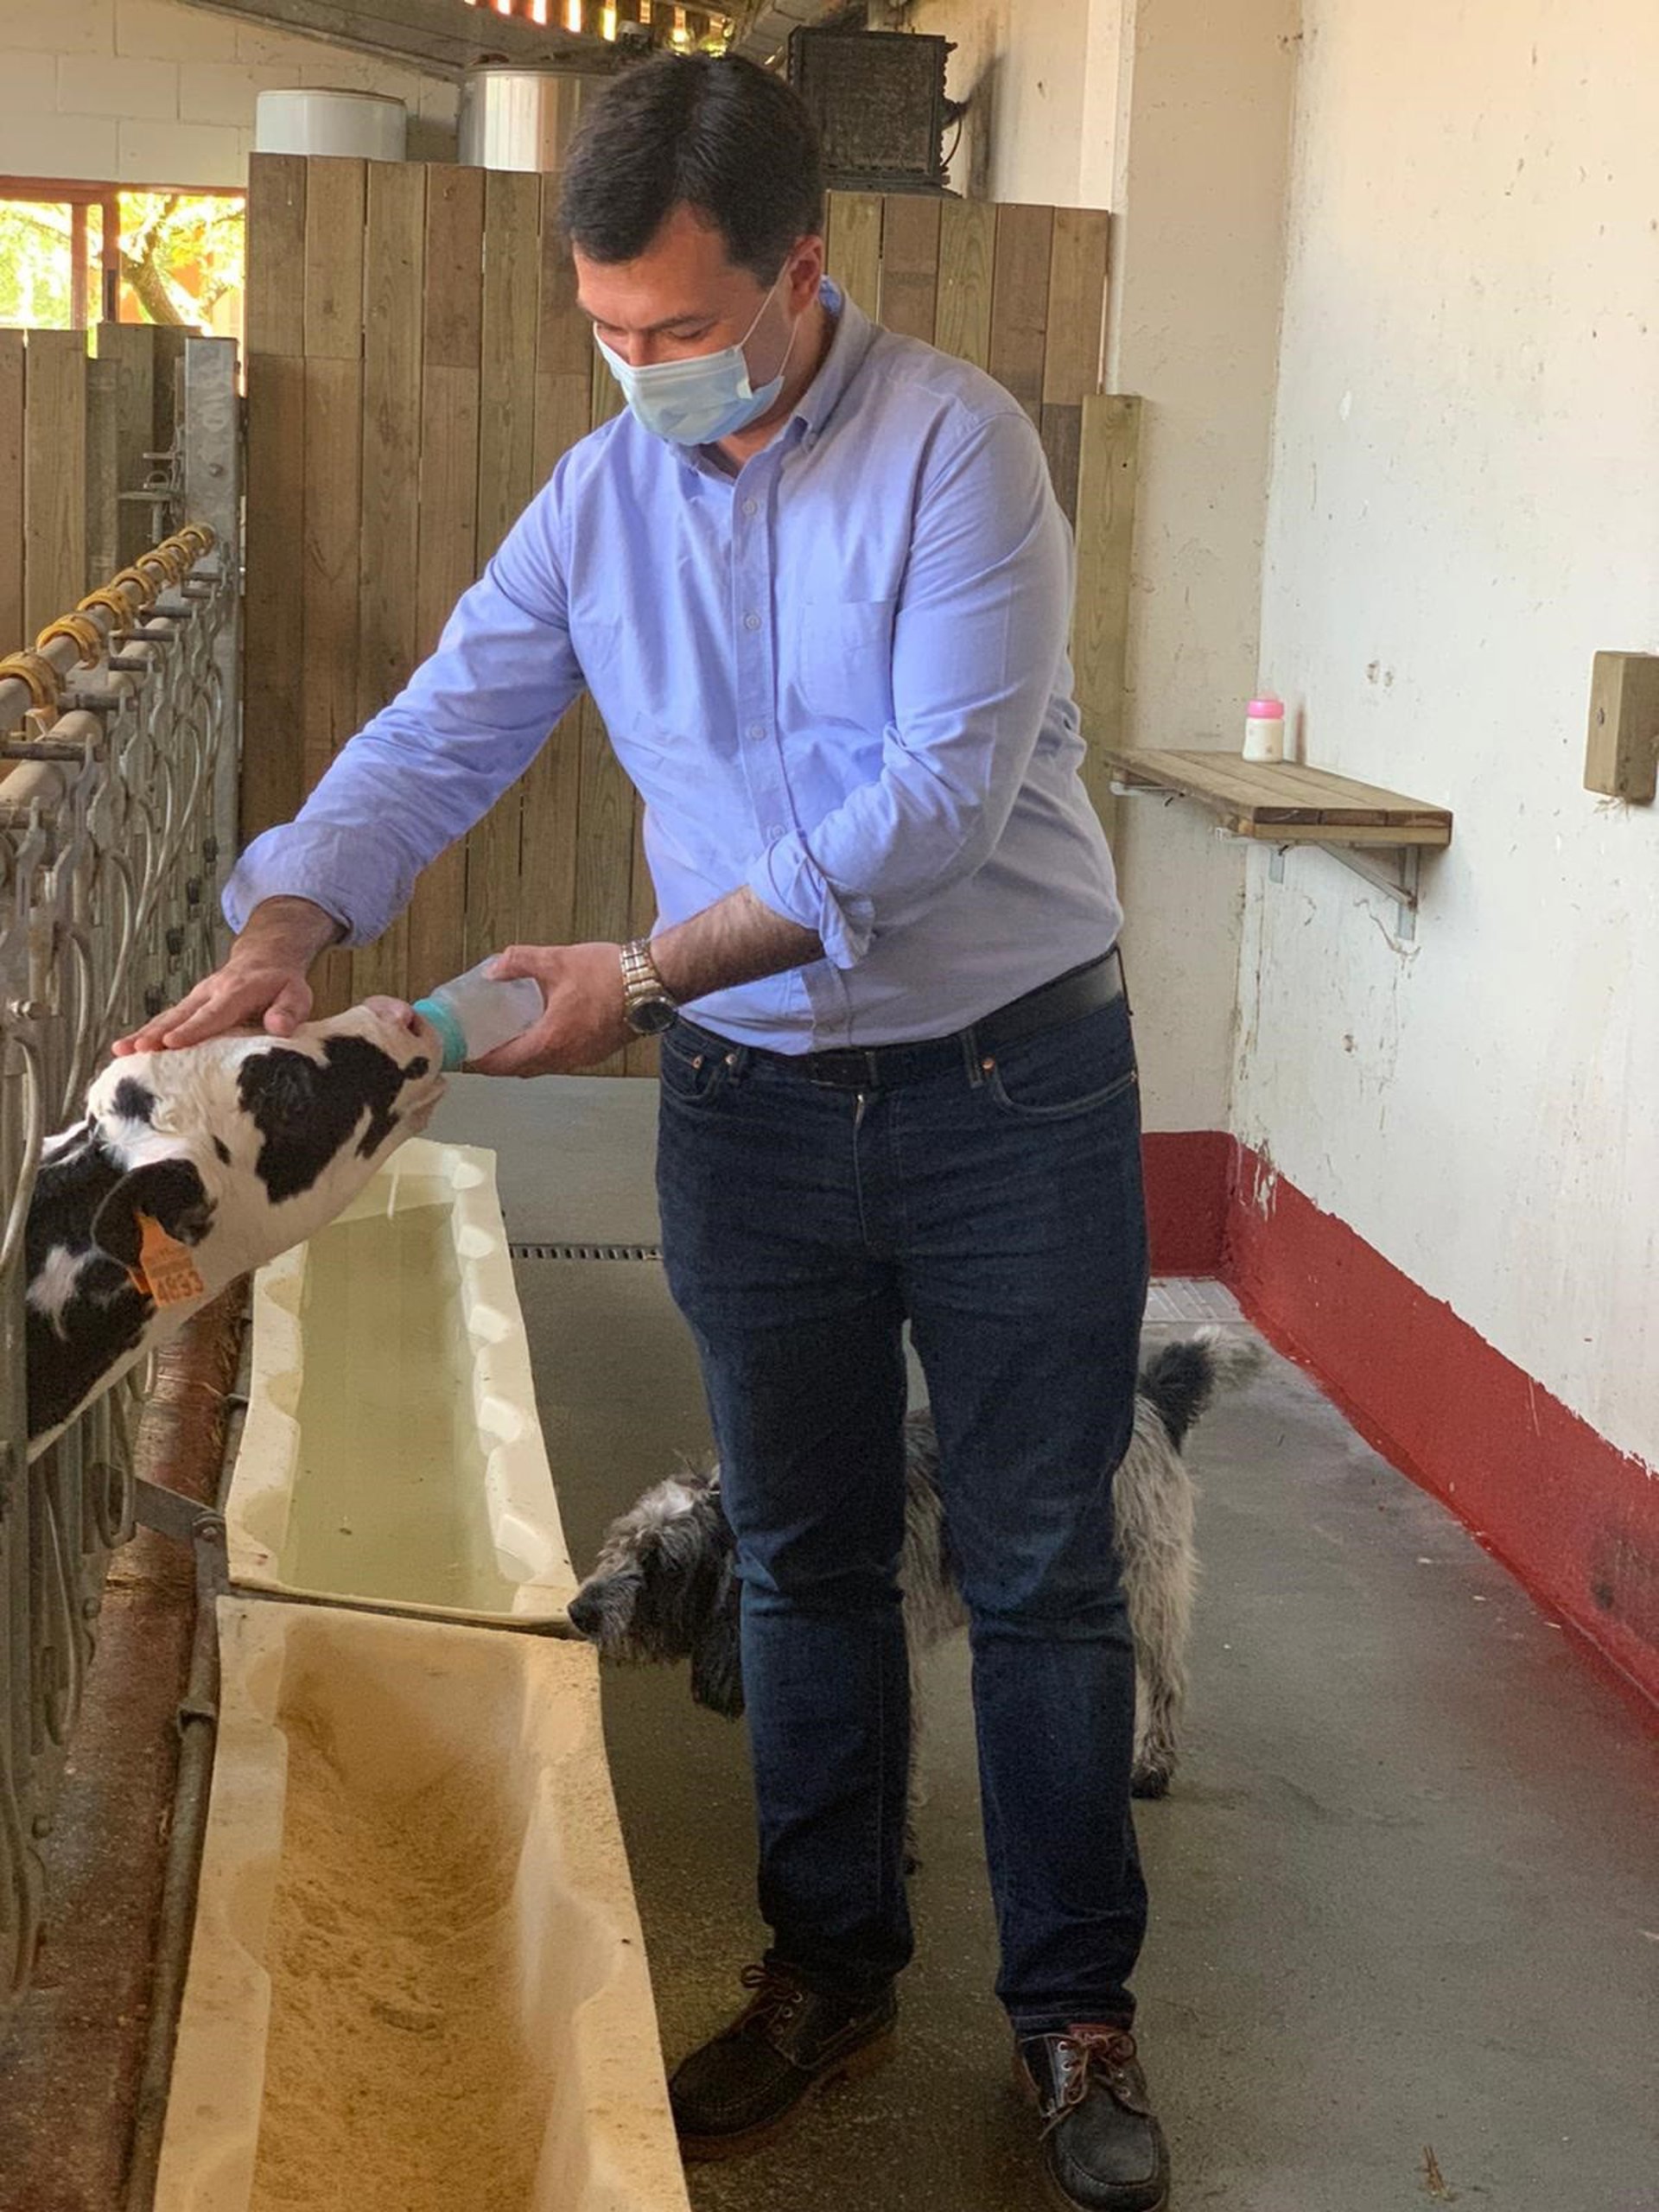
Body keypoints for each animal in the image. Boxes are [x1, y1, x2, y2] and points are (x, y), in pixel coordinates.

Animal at [568, 1328, 1261, 1804]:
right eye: (622, 1543)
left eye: (663, 1563)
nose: (579, 1610)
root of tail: (1148, 1399)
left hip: (1143, 1586)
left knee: (1165, 1681)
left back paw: (1151, 1764)